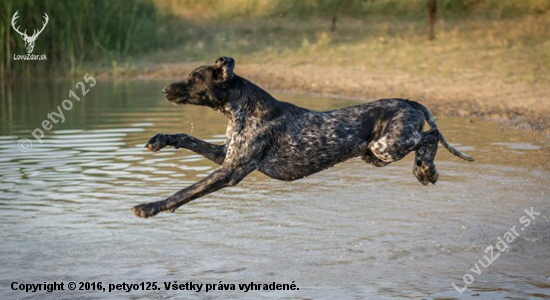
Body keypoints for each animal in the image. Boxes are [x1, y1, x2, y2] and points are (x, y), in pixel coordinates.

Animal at [133, 56, 474, 218]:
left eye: (195, 78)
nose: (164, 89)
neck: (243, 109)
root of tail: (409, 101)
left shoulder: (231, 171)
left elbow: (184, 192)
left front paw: (151, 206)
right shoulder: (225, 155)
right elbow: (185, 138)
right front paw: (161, 139)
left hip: (385, 147)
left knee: (430, 136)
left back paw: (425, 168)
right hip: (374, 154)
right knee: (428, 137)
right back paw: (426, 169)